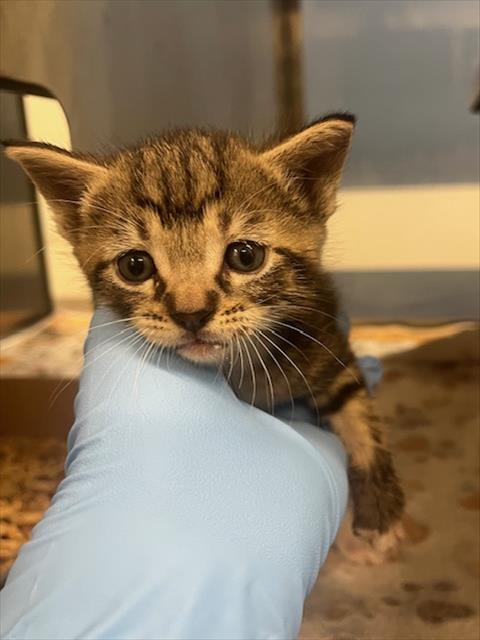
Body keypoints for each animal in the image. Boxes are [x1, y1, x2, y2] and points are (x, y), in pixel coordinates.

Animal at [5, 114, 406, 560]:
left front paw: (380, 513)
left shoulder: (326, 344)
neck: (240, 371)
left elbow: (361, 419)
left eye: (245, 256)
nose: (191, 313)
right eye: (134, 266)